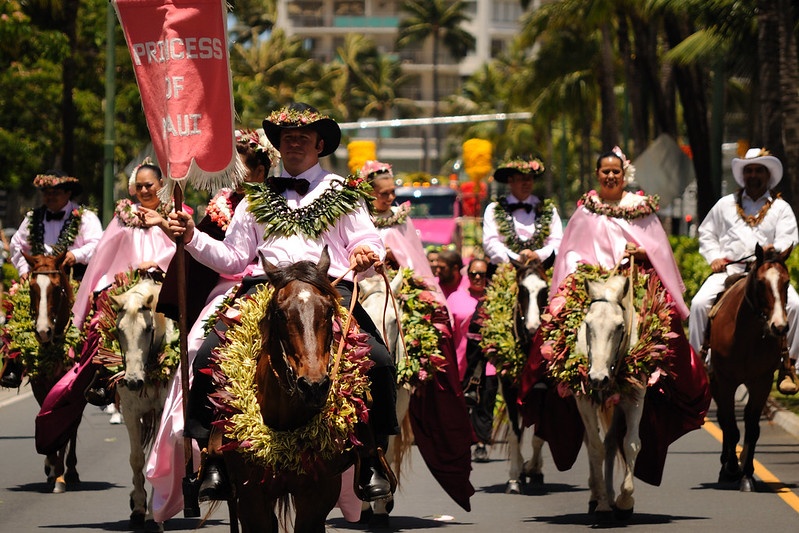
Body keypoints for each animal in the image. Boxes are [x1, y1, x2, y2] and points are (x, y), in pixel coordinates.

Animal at [107, 276, 174, 528]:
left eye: (148, 329)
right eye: (119, 329)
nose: (133, 381)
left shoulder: (163, 409)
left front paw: (155, 513)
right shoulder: (130, 411)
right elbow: (136, 459)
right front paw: (138, 507)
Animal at [576, 272, 644, 520]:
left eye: (620, 326)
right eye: (587, 324)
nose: (598, 378)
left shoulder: (635, 397)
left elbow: (631, 444)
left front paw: (625, 500)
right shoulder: (584, 401)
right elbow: (596, 448)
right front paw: (603, 504)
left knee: (612, 442)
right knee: (594, 443)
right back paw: (598, 495)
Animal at [708, 243, 792, 492]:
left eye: (787, 282)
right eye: (761, 283)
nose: (779, 327)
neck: (746, 334)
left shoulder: (762, 382)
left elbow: (752, 428)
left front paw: (746, 474)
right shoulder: (726, 381)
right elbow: (731, 426)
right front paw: (732, 468)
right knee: (725, 420)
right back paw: (726, 466)